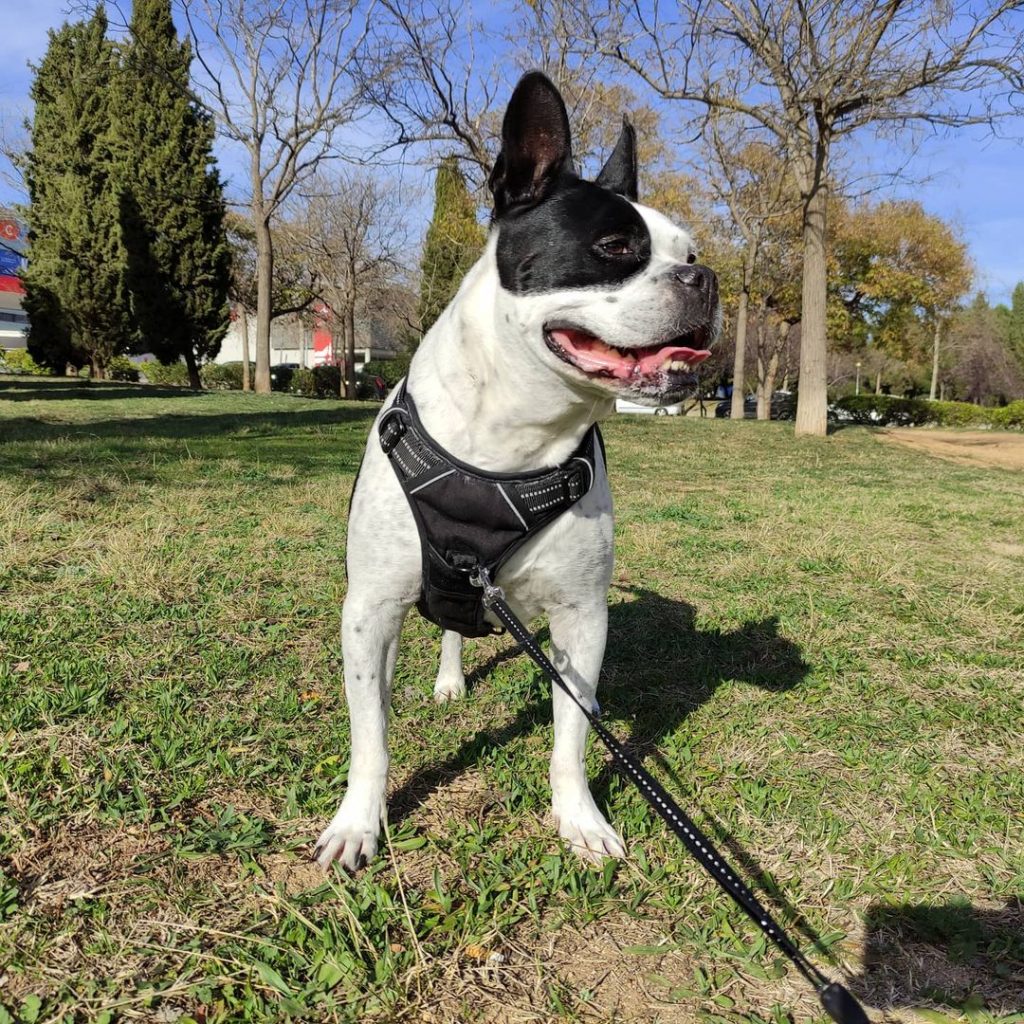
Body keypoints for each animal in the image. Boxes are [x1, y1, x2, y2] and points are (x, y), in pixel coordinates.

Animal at [311, 74, 720, 872]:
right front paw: (359, 822)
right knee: (435, 632)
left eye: (690, 250)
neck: (515, 439)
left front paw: (580, 817)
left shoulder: (582, 619)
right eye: (615, 246)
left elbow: (572, 735)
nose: (706, 277)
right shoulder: (368, 610)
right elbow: (370, 735)